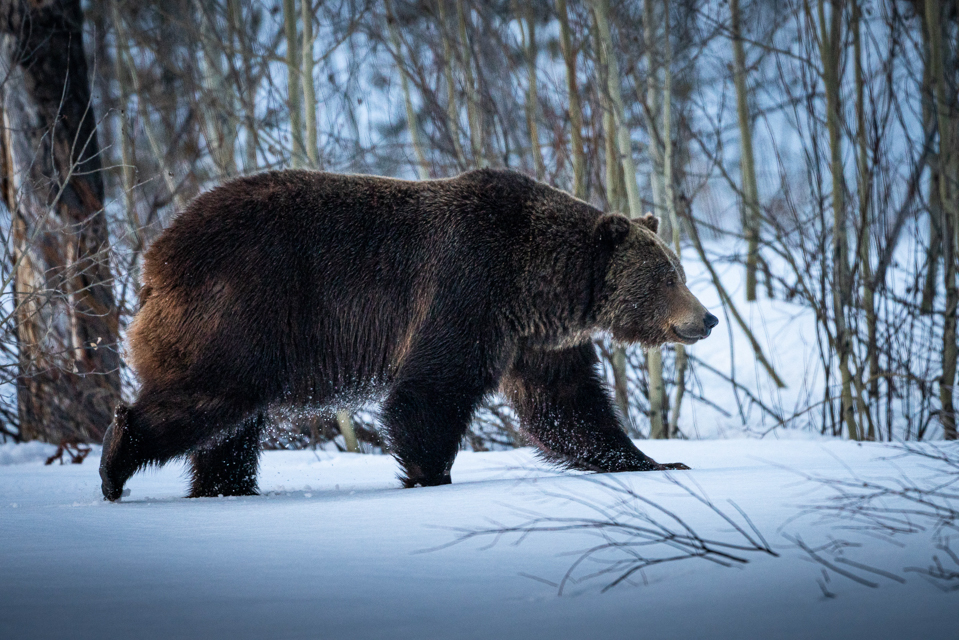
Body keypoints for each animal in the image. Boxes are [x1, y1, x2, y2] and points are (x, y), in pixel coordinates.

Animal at [101, 169, 716, 500]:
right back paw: (114, 463)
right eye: (669, 276)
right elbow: (429, 391)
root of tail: (156, 254)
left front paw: (656, 462)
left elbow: (570, 406)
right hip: (240, 311)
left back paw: (224, 488)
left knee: (231, 429)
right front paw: (431, 476)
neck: (539, 285)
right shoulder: (468, 291)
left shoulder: (535, 342)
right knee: (207, 398)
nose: (707, 318)